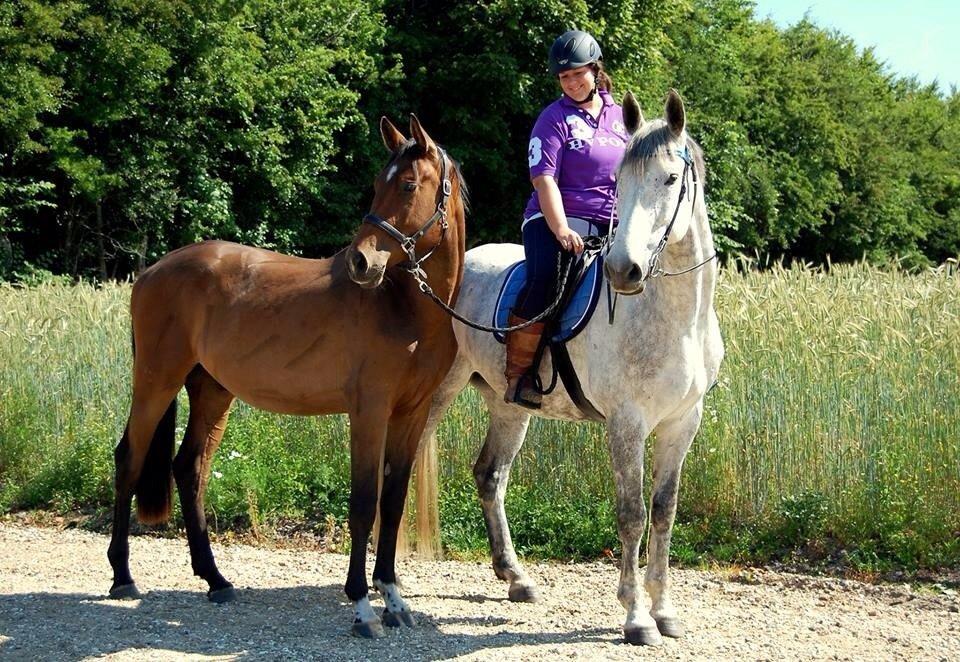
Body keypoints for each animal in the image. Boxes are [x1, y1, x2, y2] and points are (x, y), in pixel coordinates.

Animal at [109, 116, 468, 640]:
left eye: (406, 185)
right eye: (376, 184)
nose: (360, 262)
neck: (404, 308)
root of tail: (153, 270)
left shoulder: (411, 414)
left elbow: (393, 502)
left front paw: (394, 600)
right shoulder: (369, 412)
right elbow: (364, 503)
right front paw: (362, 606)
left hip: (212, 390)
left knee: (190, 468)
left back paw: (215, 579)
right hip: (156, 380)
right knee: (130, 460)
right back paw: (122, 576)